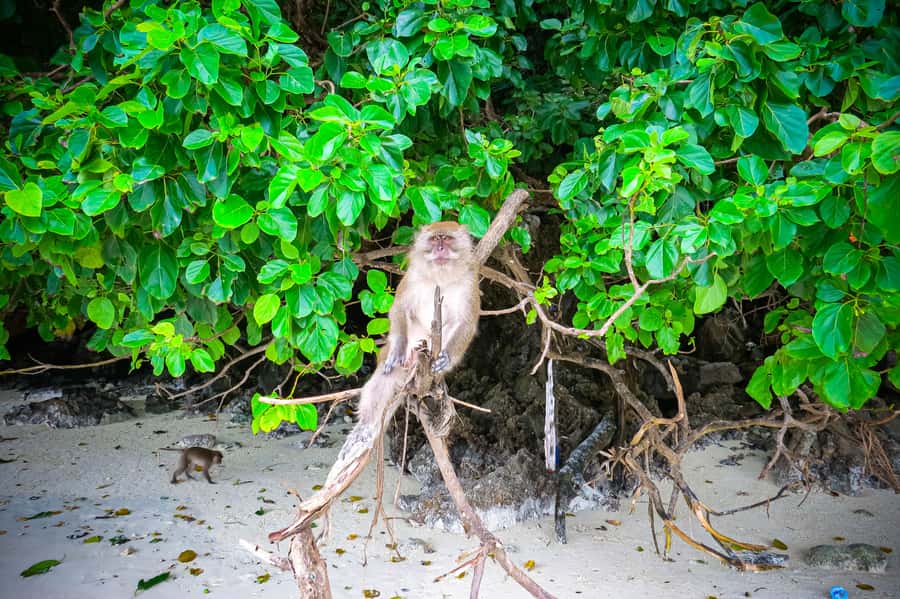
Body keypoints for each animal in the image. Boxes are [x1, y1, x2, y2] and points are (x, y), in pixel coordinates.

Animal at [355, 221, 481, 426]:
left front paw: (446, 358)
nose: (440, 248)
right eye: (434, 239)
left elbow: (466, 323)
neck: (441, 278)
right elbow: (399, 307)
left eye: (447, 238)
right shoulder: (413, 275)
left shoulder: (470, 281)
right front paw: (397, 349)